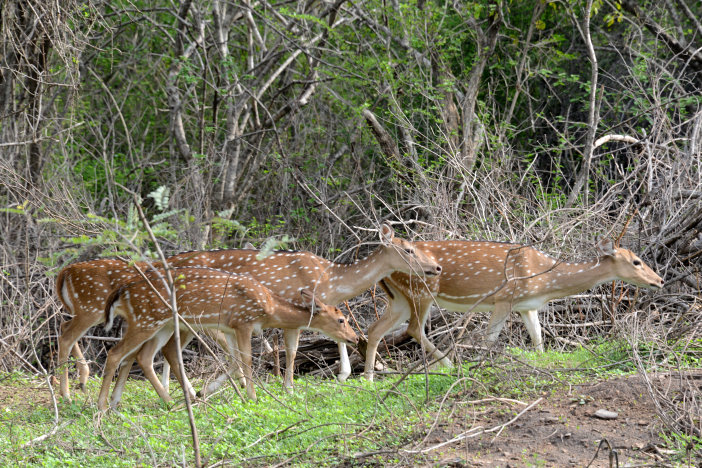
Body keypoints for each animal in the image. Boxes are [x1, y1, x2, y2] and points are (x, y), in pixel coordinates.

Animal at [98, 266, 358, 410]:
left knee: (143, 355)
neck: (268, 307)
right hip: (148, 321)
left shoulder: (231, 328)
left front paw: (210, 391)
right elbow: (247, 360)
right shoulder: (243, 322)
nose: (355, 338)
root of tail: (122, 291)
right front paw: (252, 397)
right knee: (117, 353)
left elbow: (235, 360)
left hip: (161, 324)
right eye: (341, 319)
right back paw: (102, 405)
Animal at [364, 238, 664, 380]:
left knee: (374, 328)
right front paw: (479, 366)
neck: (545, 281)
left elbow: (539, 341)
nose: (659, 280)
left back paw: (368, 378)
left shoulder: (526, 306)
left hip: (399, 298)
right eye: (636, 261)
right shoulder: (504, 298)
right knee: (414, 328)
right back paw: (450, 365)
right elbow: (490, 338)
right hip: (422, 290)